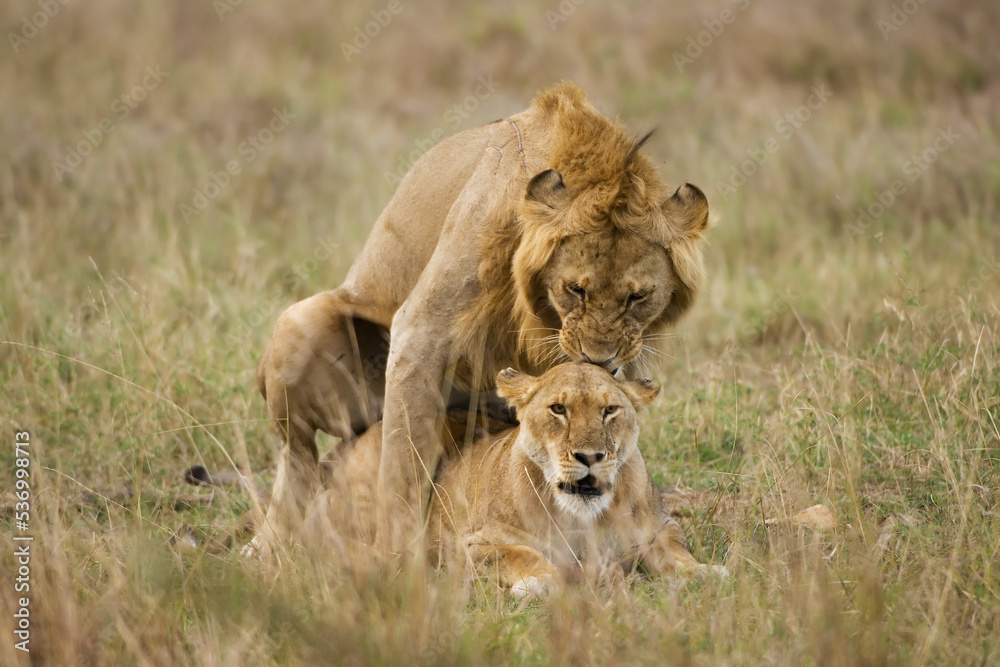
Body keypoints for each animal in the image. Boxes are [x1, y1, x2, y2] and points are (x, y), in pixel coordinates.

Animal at [256, 81, 711, 553]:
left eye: (637, 297)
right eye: (575, 289)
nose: (599, 358)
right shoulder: (421, 328)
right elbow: (401, 462)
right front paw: (398, 557)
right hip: (301, 322)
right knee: (299, 459)